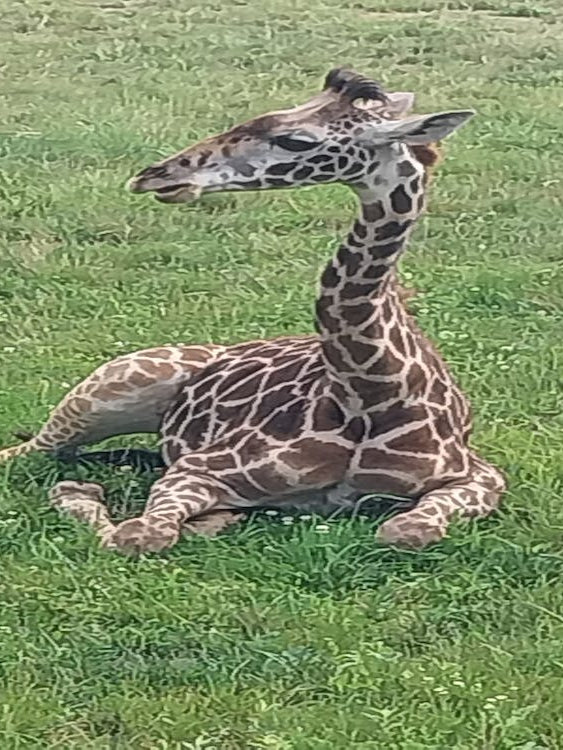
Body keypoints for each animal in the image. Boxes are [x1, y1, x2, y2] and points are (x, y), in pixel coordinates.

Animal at [0, 68, 506, 553]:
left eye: (295, 139)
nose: (156, 175)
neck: (373, 392)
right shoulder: (197, 468)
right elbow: (139, 535)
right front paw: (79, 494)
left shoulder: (480, 476)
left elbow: (406, 530)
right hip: (104, 391)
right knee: (30, 452)